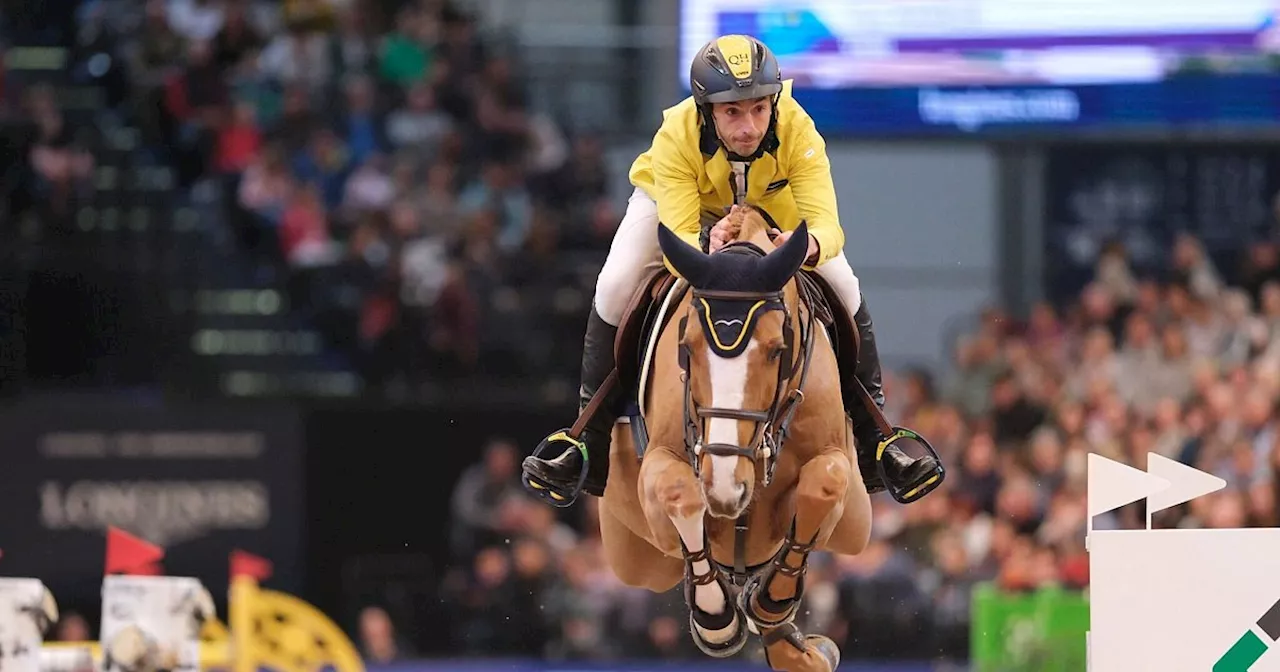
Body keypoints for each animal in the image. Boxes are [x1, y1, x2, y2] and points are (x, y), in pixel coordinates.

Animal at [596, 207, 870, 670]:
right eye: (686, 346)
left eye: (778, 350)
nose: (726, 487)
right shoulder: (661, 474)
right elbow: (678, 492)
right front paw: (716, 619)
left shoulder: (840, 476)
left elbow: (825, 483)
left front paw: (773, 601)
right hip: (635, 557)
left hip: (856, 528)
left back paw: (801, 647)